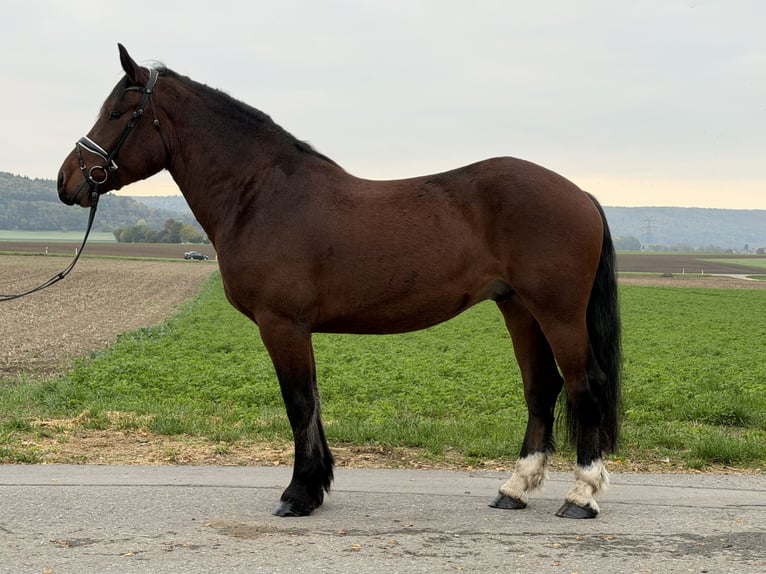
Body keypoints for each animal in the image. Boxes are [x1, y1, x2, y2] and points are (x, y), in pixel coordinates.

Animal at [57, 45, 622, 519]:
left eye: (116, 114)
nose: (67, 181)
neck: (259, 195)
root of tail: (581, 194)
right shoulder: (297, 328)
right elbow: (311, 401)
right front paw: (315, 486)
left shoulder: (281, 324)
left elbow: (299, 403)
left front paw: (298, 494)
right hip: (518, 308)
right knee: (542, 387)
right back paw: (514, 489)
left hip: (557, 312)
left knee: (585, 385)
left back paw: (581, 496)